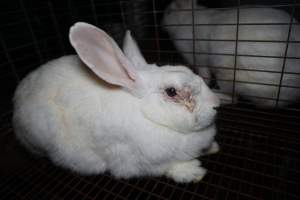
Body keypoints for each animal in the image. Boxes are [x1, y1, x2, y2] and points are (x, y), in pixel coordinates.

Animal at [12, 22, 219, 183]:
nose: (216, 104)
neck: (147, 114)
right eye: (172, 91)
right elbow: (168, 168)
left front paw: (213, 147)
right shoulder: (136, 162)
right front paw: (193, 172)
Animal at [163, 0, 300, 108]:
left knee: (233, 98)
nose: (161, 23)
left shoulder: (199, 59)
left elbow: (205, 75)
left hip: (226, 72)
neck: (185, 19)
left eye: (169, 12)